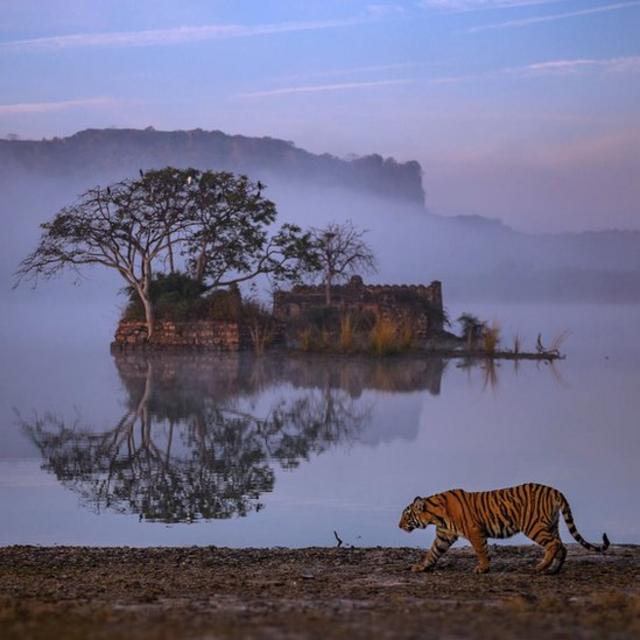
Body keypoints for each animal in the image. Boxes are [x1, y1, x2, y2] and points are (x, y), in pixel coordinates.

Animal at [400, 482, 608, 576]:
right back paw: (553, 569)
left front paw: (482, 568)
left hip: (533, 526)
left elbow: (481, 550)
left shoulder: (474, 531)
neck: (435, 516)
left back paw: (540, 567)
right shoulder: (444, 536)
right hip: (551, 524)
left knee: (554, 544)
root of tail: (554, 490)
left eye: (406, 515)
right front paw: (420, 567)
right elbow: (432, 552)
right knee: (562, 546)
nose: (399, 525)